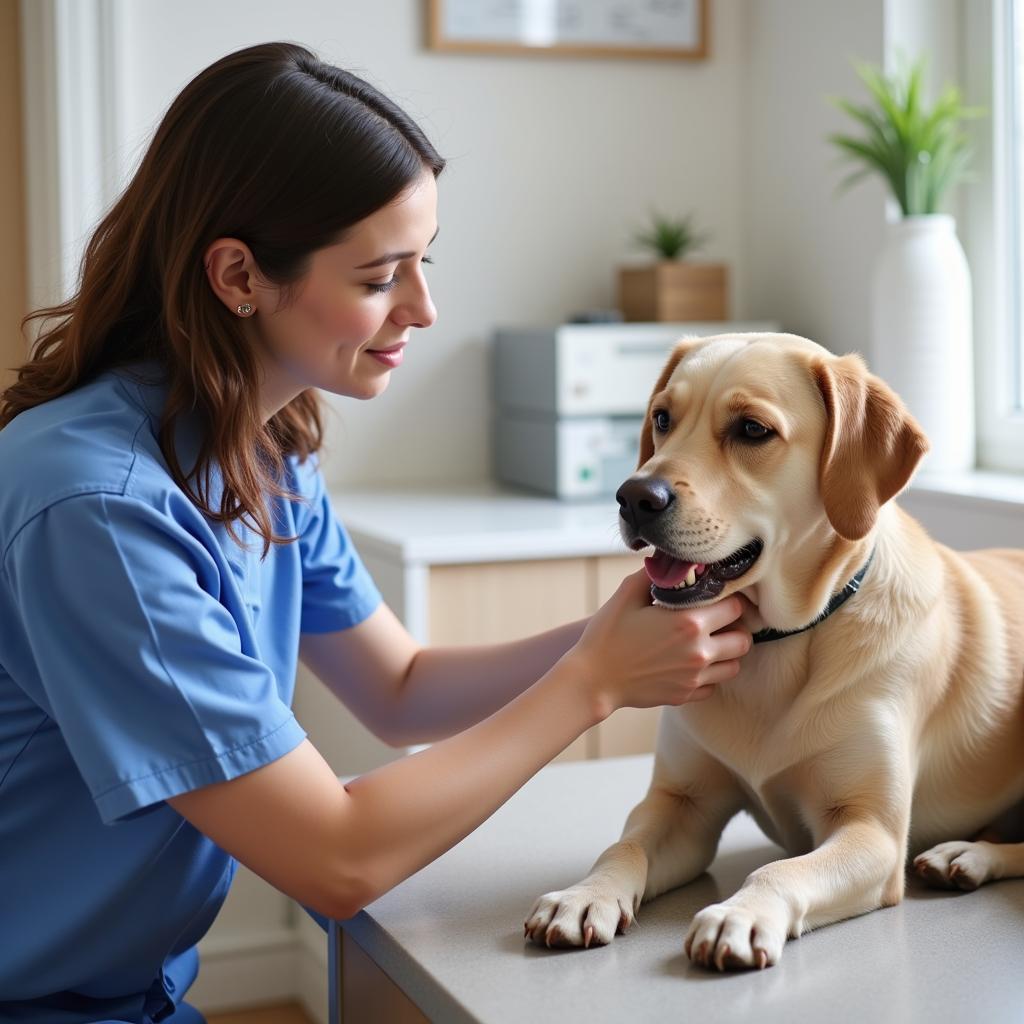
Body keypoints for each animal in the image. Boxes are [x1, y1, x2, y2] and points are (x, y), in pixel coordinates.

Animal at [524, 333, 1019, 966]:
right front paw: (585, 895)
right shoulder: (682, 803)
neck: (777, 646)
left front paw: (739, 913)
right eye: (662, 418)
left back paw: (968, 855)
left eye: (752, 430)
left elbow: (783, 870)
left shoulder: (871, 829)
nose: (632, 497)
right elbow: (622, 847)